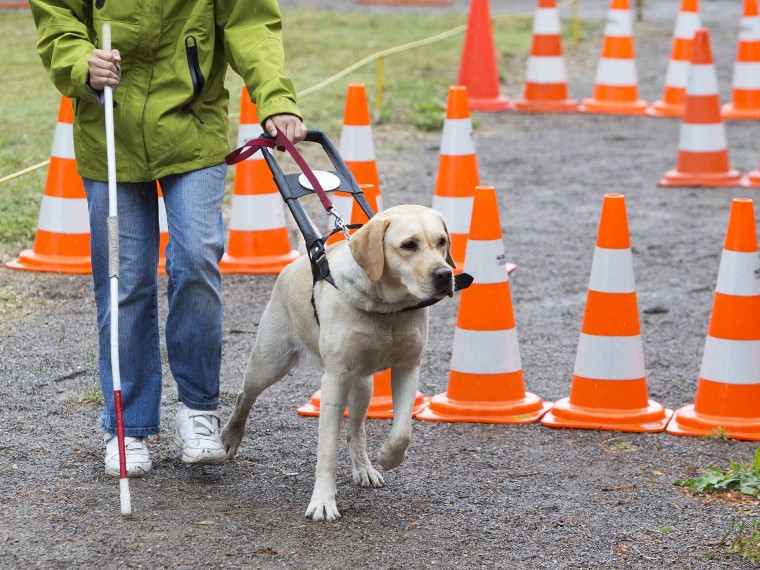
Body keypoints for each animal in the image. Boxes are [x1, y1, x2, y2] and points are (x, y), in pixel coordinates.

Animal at [223, 203, 454, 520]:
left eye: (442, 242)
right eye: (409, 245)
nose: (445, 274)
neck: (387, 308)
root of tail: (298, 261)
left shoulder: (408, 367)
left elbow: (402, 432)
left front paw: (388, 457)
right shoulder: (334, 379)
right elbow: (327, 451)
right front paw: (323, 502)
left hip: (363, 385)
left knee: (356, 430)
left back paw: (364, 468)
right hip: (268, 363)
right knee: (244, 396)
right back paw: (230, 436)